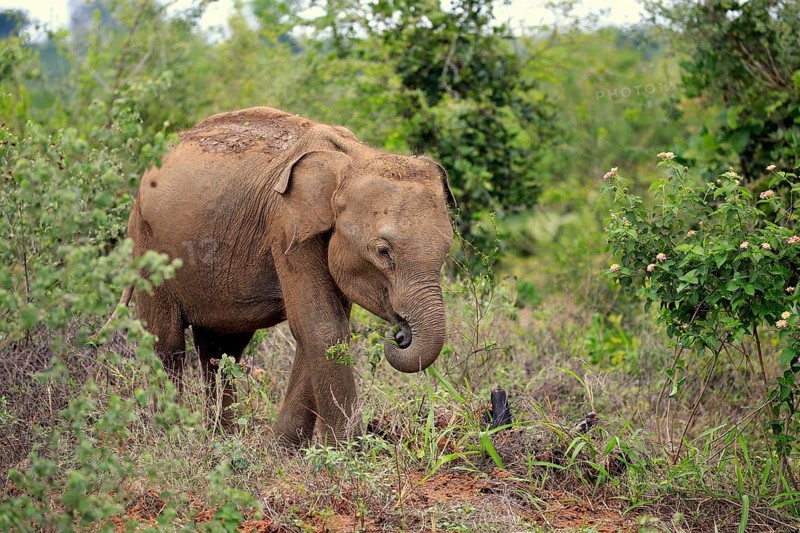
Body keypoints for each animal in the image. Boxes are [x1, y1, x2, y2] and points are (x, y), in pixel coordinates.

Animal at [109, 106, 455, 447]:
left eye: (446, 249)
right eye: (383, 251)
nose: (400, 334)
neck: (353, 158)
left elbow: (320, 327)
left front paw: (282, 449)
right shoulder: (285, 223)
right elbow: (322, 326)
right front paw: (348, 451)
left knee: (221, 350)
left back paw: (222, 438)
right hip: (147, 246)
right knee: (167, 346)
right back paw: (170, 439)